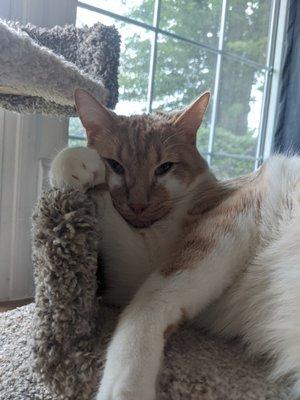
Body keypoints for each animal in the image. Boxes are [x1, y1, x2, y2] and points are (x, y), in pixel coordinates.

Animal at [49, 88, 300, 400]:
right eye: (115, 165)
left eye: (165, 168)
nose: (138, 205)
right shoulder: (137, 264)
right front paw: (75, 164)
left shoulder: (232, 218)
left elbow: (147, 305)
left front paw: (125, 385)